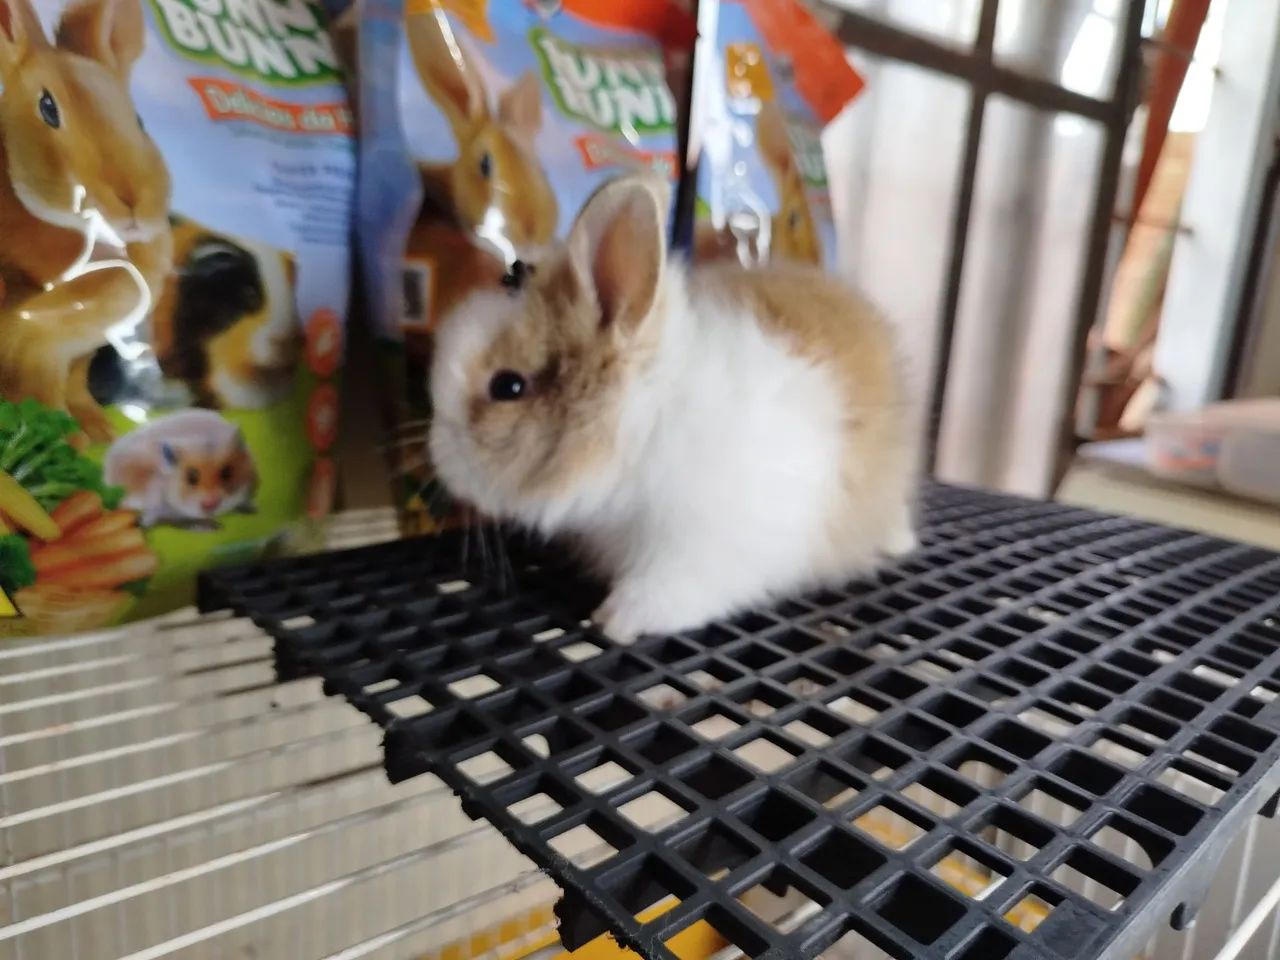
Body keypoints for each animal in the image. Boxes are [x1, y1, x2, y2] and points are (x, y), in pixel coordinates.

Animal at [0, 0, 173, 441]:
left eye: (139, 121)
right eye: (48, 108)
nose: (132, 201)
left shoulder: (82, 351)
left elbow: (76, 386)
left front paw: (99, 430)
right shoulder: (34, 347)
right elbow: (40, 397)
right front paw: (71, 441)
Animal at [429, 174, 917, 643]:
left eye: (507, 386)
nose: (439, 455)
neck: (644, 419)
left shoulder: (703, 548)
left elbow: (668, 590)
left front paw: (617, 621)